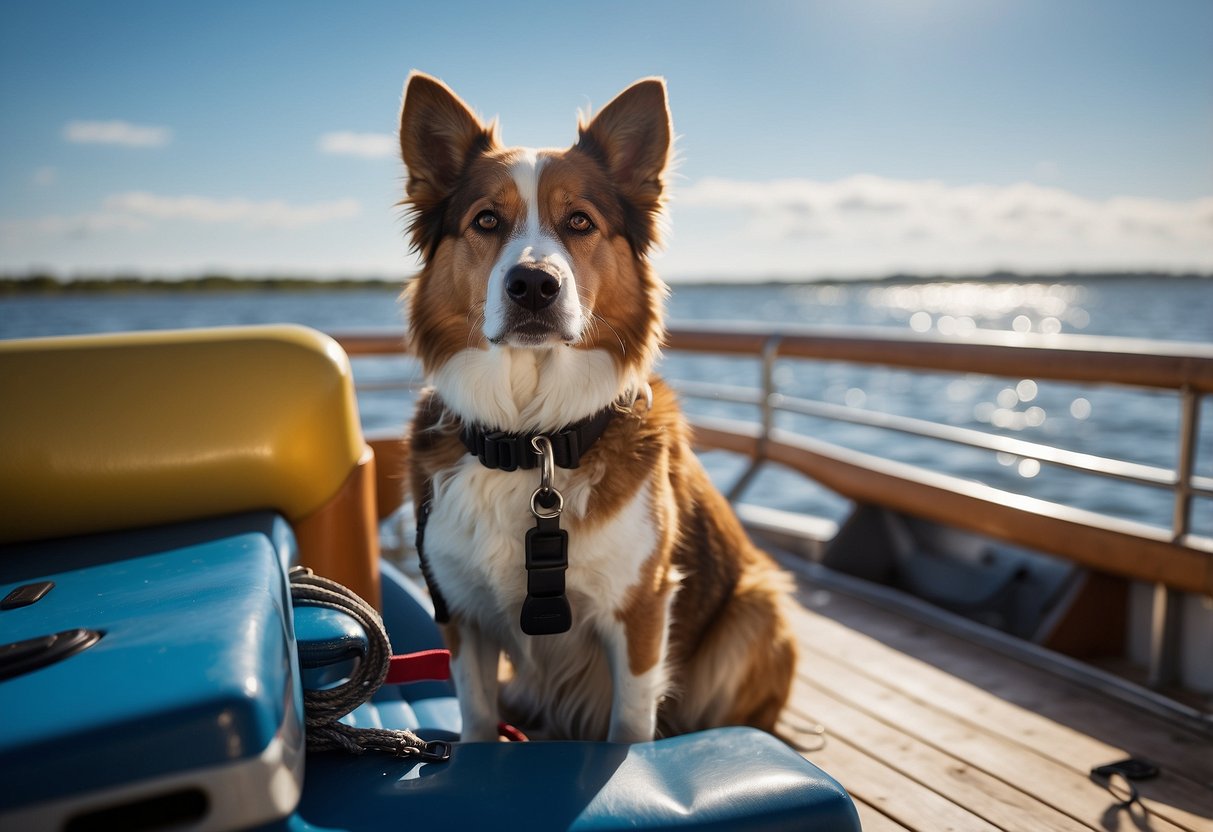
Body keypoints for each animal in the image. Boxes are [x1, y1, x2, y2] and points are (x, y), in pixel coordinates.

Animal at [397, 71, 795, 742]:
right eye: (486, 219)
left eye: (580, 221)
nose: (534, 285)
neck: (535, 440)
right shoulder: (463, 616)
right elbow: (476, 717)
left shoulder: (640, 611)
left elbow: (630, 726)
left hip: (758, 604)